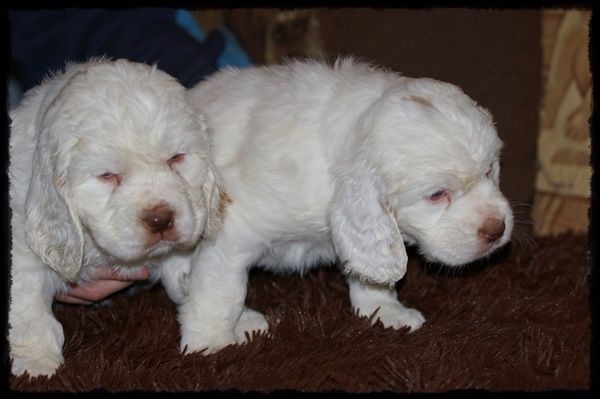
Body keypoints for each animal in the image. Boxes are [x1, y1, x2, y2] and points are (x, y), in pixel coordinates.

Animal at [8, 59, 220, 378]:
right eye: (107, 175)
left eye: (176, 158)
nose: (160, 220)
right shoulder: (23, 247)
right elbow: (29, 307)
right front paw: (37, 363)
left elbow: (184, 274)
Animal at [180, 57, 512, 354]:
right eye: (436, 195)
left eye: (489, 171)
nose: (498, 229)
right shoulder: (231, 232)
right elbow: (221, 292)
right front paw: (211, 343)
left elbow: (368, 270)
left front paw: (385, 311)